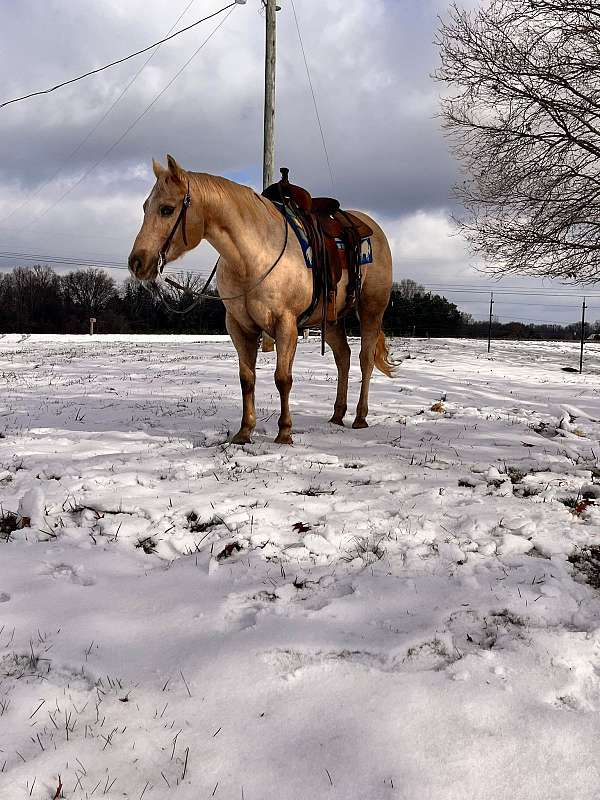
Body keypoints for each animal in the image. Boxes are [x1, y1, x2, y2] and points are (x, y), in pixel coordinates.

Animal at [129, 154, 396, 446]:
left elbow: (283, 378)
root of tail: (373, 228)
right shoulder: (239, 326)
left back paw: (360, 417)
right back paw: (337, 415)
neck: (252, 256)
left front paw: (285, 431)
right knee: (343, 357)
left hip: (371, 309)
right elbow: (247, 378)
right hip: (332, 319)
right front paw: (244, 431)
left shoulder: (286, 324)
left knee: (364, 359)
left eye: (167, 209)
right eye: (145, 207)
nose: (136, 262)